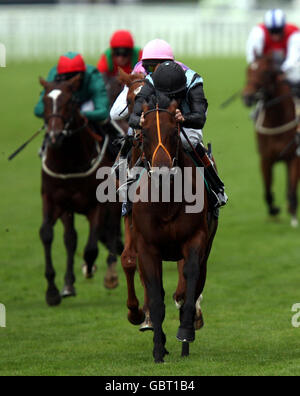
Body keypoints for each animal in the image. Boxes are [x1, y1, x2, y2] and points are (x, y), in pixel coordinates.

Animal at [39, 74, 122, 306]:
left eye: (69, 102)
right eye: (45, 101)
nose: (55, 136)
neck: (69, 162)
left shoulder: (98, 202)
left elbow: (91, 247)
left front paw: (91, 267)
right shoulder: (54, 199)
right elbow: (48, 234)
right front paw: (53, 290)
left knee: (112, 229)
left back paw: (110, 270)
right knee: (71, 238)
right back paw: (69, 283)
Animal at [120, 96, 218, 362]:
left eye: (174, 130)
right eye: (144, 133)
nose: (163, 173)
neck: (166, 202)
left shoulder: (195, 240)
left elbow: (189, 284)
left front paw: (185, 330)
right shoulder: (147, 247)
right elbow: (155, 296)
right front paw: (158, 349)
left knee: (192, 284)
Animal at [243, 53, 298, 226]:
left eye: (266, 72)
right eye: (248, 69)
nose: (247, 96)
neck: (277, 120)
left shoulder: (294, 157)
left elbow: (292, 189)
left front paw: (293, 215)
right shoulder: (265, 159)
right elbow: (267, 190)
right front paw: (274, 209)